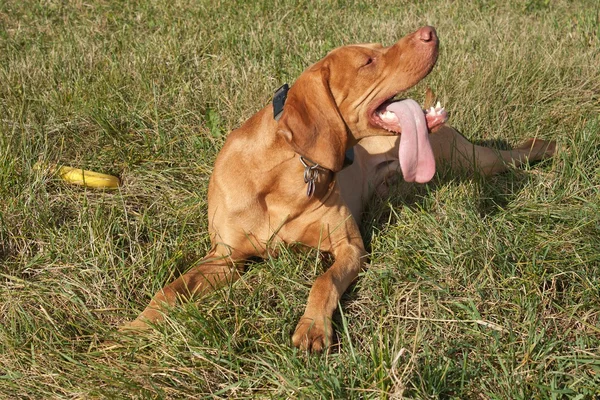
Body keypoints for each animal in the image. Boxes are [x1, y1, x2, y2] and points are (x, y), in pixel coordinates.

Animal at [123, 25, 556, 350]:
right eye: (368, 61)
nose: (430, 30)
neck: (287, 173)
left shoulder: (350, 246)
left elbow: (323, 281)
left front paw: (313, 327)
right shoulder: (226, 257)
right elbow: (172, 290)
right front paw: (137, 327)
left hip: (471, 159)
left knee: (515, 154)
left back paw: (550, 147)